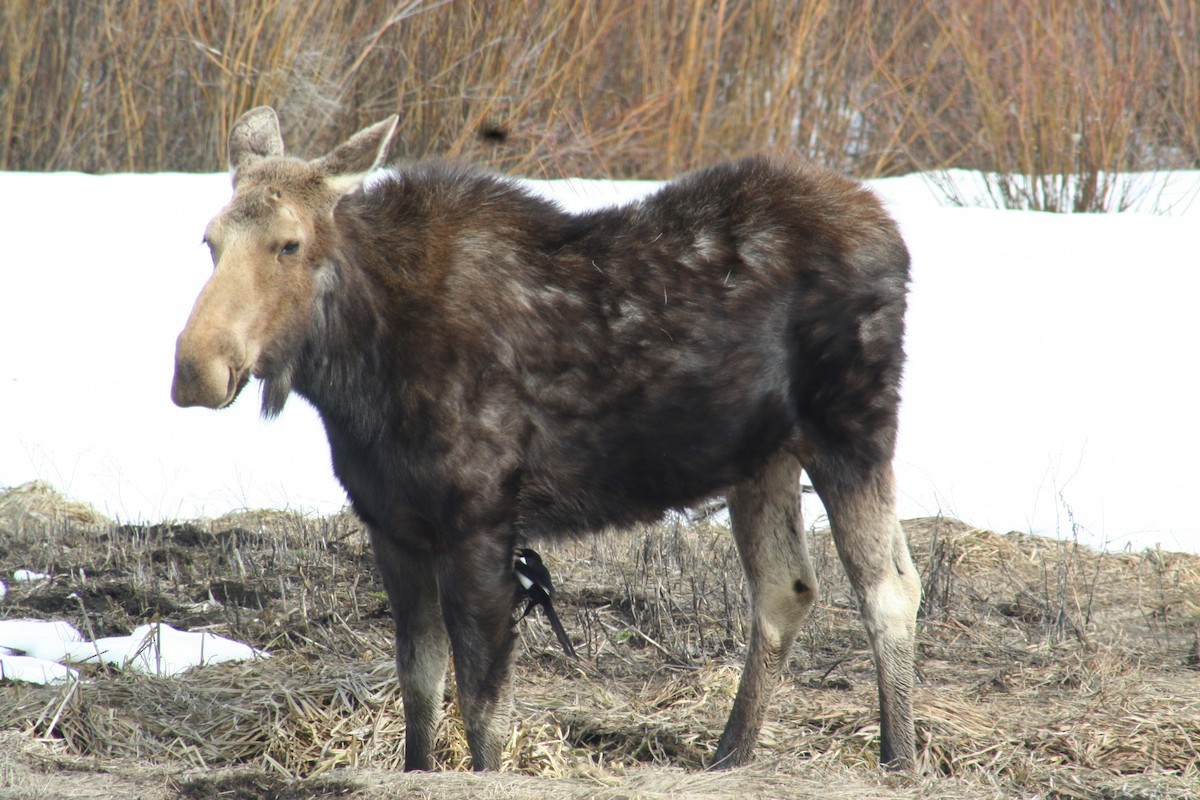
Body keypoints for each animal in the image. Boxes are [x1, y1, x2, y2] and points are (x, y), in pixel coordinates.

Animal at [171, 109, 916, 772]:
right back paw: (729, 756)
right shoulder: (393, 526)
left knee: (890, 590)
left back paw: (898, 758)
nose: (195, 368)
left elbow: (482, 708)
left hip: (853, 428)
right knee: (787, 589)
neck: (356, 372)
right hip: (762, 458)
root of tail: (891, 234)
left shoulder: (480, 524)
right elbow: (420, 686)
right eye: (208, 241)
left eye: (289, 243)